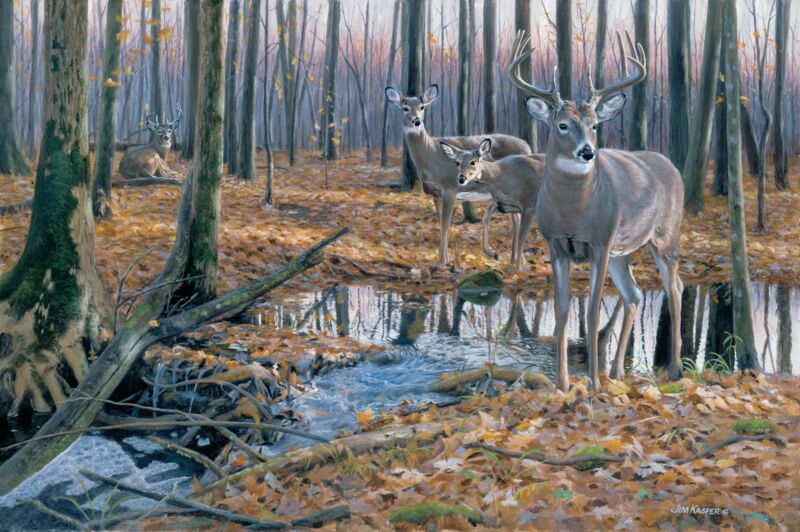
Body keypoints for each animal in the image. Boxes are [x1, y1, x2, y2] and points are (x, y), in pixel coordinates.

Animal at [385, 85, 532, 267]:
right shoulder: (436, 193)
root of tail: (527, 146)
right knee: (515, 218)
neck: (431, 155)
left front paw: (442, 262)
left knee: (517, 217)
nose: (416, 121)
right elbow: (441, 223)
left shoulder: (450, 187)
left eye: (422, 107)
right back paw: (512, 259)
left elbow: (446, 224)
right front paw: (444, 259)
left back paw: (516, 260)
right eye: (405, 108)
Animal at [439, 138, 545, 275]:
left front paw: (516, 271)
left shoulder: (529, 204)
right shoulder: (509, 205)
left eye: (473, 162)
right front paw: (496, 254)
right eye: (457, 162)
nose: (461, 178)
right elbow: (488, 217)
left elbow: (522, 237)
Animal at [509, 30, 684, 392]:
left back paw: (675, 369)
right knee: (634, 295)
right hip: (622, 252)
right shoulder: (556, 243)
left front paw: (592, 384)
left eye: (593, 125)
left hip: (666, 237)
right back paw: (617, 372)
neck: (573, 213)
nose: (587, 152)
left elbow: (590, 311)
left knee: (674, 289)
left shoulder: (600, 243)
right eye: (562, 125)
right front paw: (562, 383)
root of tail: (671, 165)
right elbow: (562, 309)